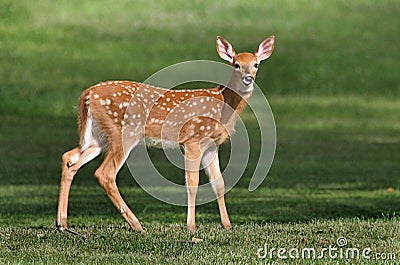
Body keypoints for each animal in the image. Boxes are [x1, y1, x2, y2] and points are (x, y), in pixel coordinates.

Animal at [57, 35, 276, 233]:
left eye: (256, 64)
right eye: (236, 65)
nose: (248, 79)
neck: (223, 103)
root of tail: (87, 95)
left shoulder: (211, 145)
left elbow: (219, 183)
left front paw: (227, 225)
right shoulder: (193, 139)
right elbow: (193, 183)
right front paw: (191, 227)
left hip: (99, 136)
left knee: (69, 158)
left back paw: (62, 223)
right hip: (125, 132)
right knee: (105, 174)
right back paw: (137, 225)